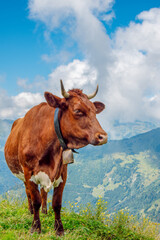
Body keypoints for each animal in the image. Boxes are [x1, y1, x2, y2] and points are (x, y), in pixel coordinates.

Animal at [4, 80, 107, 234]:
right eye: (78, 110)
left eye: (95, 111)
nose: (103, 136)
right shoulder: (28, 173)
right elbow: (35, 200)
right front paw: (35, 227)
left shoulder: (62, 172)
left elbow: (56, 203)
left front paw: (59, 229)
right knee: (28, 193)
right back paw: (30, 211)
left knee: (43, 192)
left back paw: (45, 212)